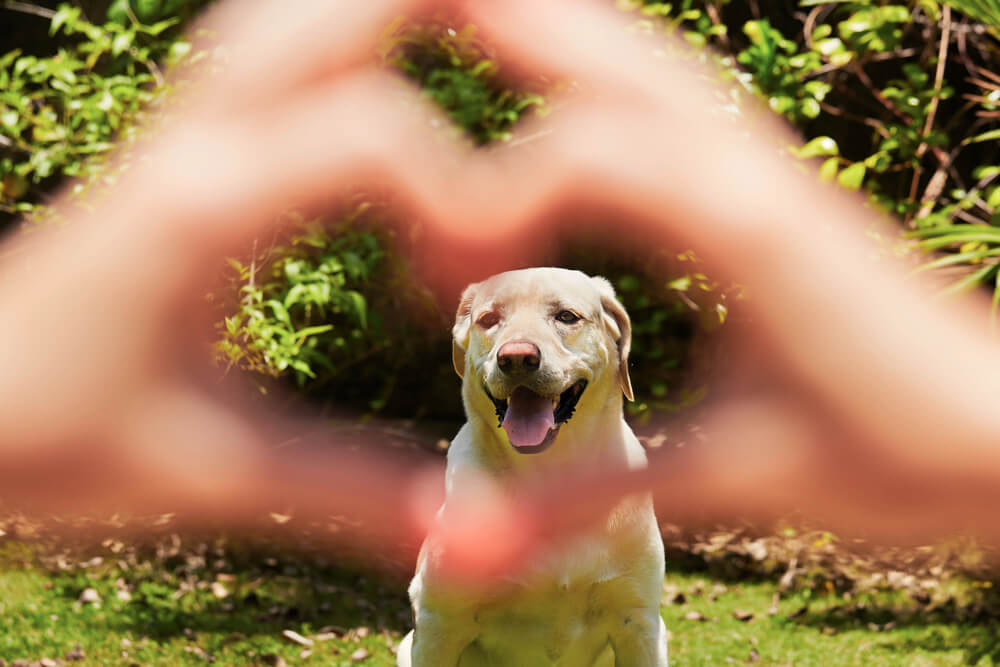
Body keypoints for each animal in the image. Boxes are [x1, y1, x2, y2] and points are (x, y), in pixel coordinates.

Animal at [396, 268, 664, 667]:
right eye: (489, 320)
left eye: (566, 316)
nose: (517, 358)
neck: (550, 476)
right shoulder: (438, 625)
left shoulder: (639, 624)